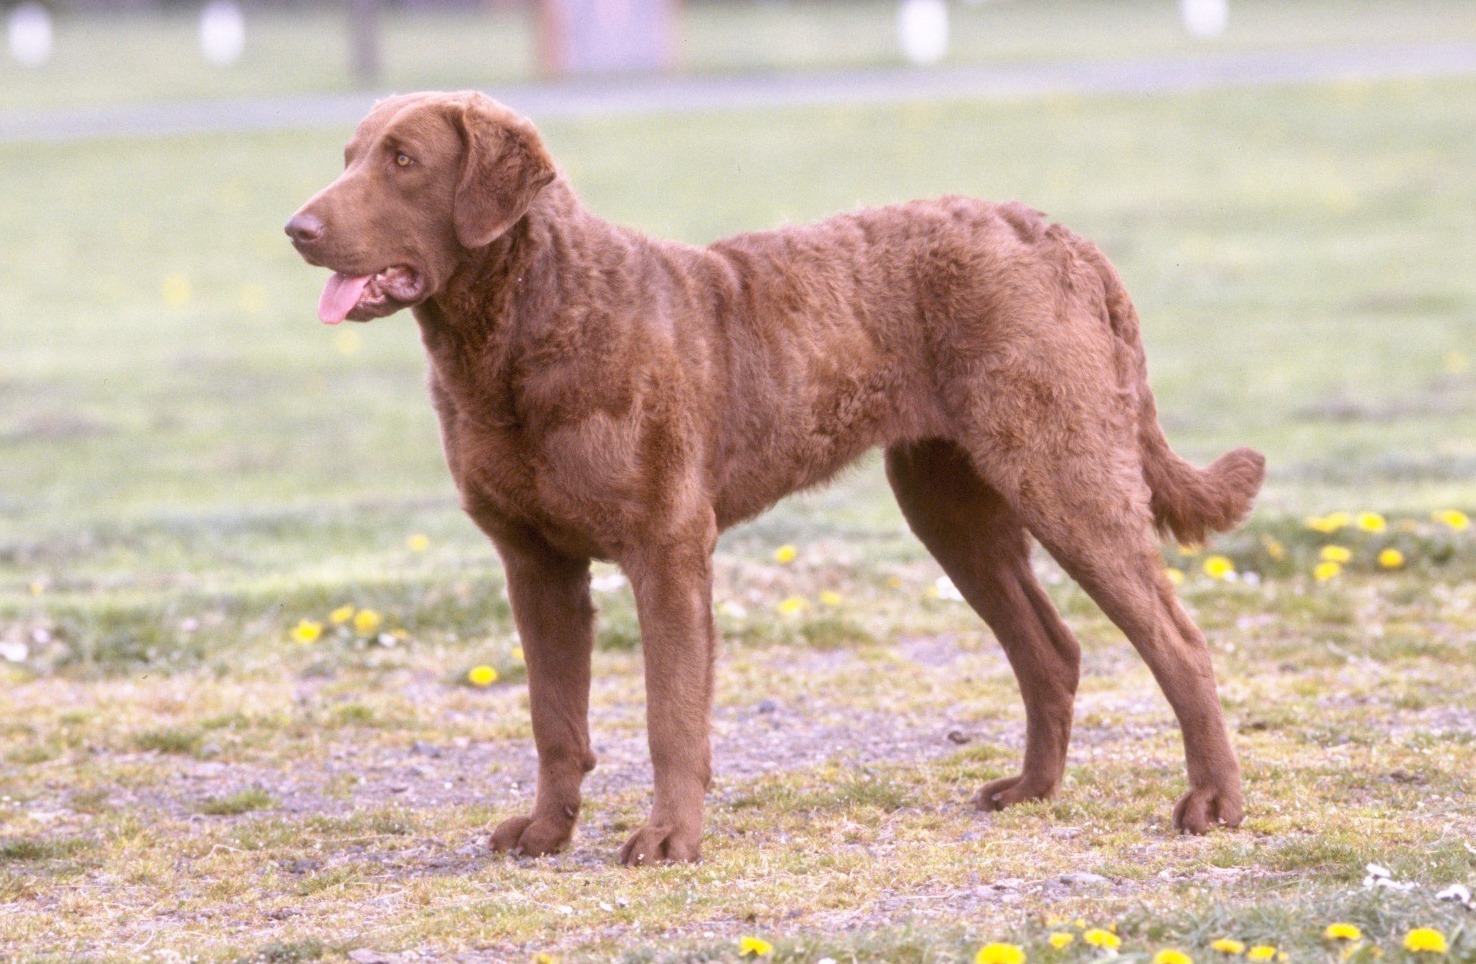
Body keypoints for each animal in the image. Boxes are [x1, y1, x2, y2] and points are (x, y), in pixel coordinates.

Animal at [287, 90, 1269, 862]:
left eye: (404, 160)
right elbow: (553, 717)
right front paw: (544, 833)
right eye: (348, 157)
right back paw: (1030, 789)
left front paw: (668, 840)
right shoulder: (534, 562)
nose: (297, 228)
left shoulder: (667, 546)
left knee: (1178, 641)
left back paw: (1213, 803)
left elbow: (671, 714)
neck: (529, 325)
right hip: (949, 501)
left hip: (1063, 470)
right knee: (1051, 648)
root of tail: (1059, 237)